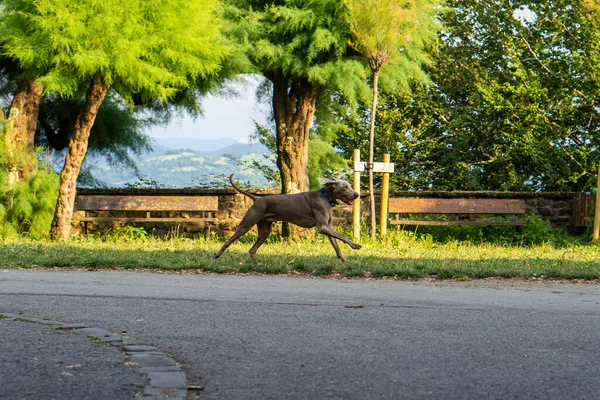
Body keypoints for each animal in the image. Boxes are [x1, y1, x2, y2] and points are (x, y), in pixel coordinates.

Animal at [216, 173, 364, 260]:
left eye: (350, 186)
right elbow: (343, 237)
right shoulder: (323, 227)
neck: (326, 197)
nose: (357, 194)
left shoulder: (328, 227)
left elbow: (336, 244)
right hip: (247, 224)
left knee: (252, 250)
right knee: (228, 241)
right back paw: (217, 255)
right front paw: (355, 245)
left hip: (265, 229)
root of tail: (257, 198)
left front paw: (343, 259)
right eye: (344, 187)